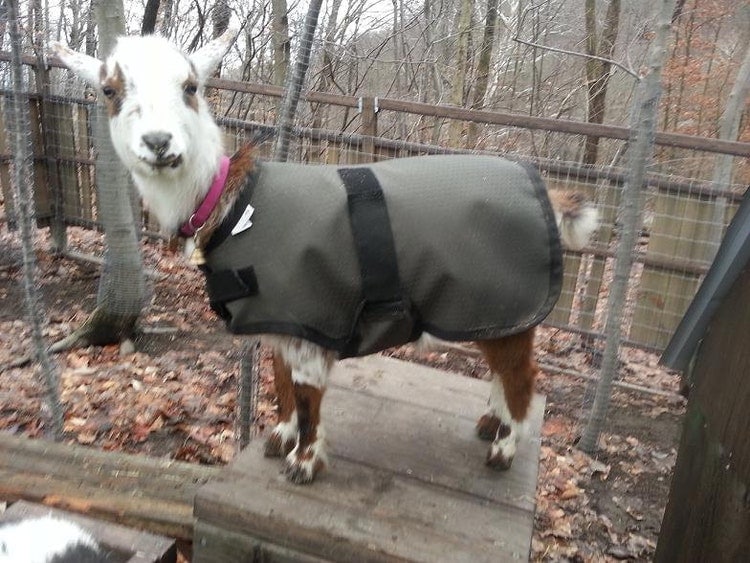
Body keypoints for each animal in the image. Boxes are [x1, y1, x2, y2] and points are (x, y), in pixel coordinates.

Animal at [52, 31, 598, 485]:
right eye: (109, 91)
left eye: (190, 85)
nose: (159, 143)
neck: (233, 202)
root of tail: (547, 193)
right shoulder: (279, 318)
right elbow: (281, 384)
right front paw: (281, 437)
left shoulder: (311, 316)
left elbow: (309, 397)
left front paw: (304, 463)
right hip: (490, 311)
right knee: (504, 370)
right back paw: (491, 423)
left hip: (503, 300)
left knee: (524, 377)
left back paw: (504, 448)